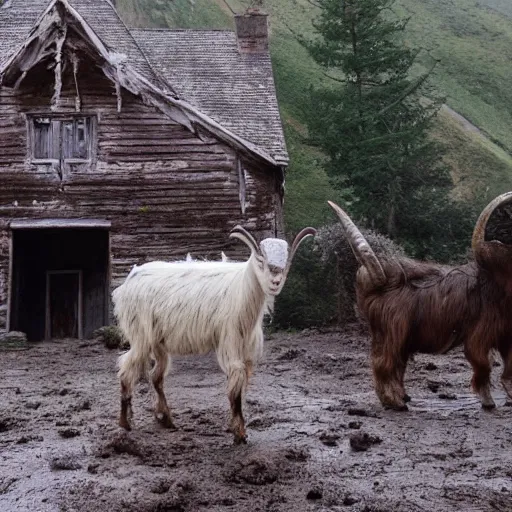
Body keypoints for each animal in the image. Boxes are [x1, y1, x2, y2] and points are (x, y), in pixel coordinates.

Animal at [112, 226, 316, 442]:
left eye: (286, 264)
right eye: (261, 261)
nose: (275, 282)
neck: (242, 289)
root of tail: (130, 279)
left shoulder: (246, 347)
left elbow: (239, 385)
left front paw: (235, 427)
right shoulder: (230, 339)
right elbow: (235, 384)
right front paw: (239, 433)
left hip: (158, 341)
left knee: (156, 376)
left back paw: (165, 419)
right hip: (140, 335)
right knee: (127, 371)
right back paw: (125, 423)